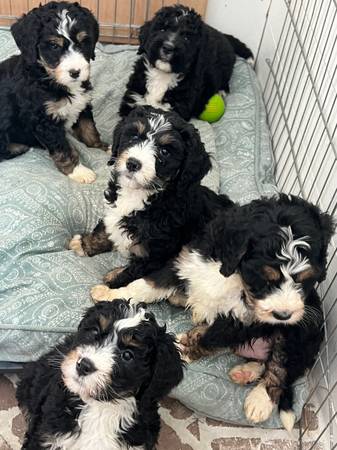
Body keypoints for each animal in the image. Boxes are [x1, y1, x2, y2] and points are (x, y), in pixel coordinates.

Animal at [0, 0, 107, 183]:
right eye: (54, 46)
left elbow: (89, 129)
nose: (75, 72)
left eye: (83, 42)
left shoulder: (83, 104)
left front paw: (102, 148)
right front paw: (79, 171)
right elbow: (63, 148)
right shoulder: (44, 120)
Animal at [67, 107, 232, 300]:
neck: (141, 194)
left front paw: (111, 286)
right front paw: (84, 244)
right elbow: (104, 229)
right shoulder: (114, 211)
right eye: (134, 137)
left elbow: (131, 273)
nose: (132, 163)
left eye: (165, 152)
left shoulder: (155, 254)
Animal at [90, 195, 334, 430]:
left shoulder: (240, 319)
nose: (284, 315)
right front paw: (111, 295)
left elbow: (209, 337)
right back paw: (244, 371)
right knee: (263, 361)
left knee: (281, 367)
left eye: (306, 280)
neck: (234, 276)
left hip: (302, 330)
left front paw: (183, 349)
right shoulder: (186, 263)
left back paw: (260, 400)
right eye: (265, 278)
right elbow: (147, 285)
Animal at [119, 4, 252, 120]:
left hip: (226, 67)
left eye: (187, 38)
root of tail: (222, 35)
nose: (168, 47)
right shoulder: (133, 98)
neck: (163, 74)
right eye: (162, 29)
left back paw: (222, 90)